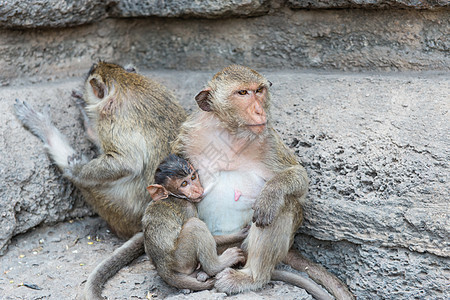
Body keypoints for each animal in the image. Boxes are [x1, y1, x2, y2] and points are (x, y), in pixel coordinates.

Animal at [13, 61, 186, 300]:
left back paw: (52, 139)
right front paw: (86, 118)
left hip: (115, 209)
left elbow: (126, 162)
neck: (123, 81)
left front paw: (77, 168)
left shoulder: (110, 117)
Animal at [143, 154, 246, 290]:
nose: (198, 190)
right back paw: (216, 265)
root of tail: (163, 268)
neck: (172, 196)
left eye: (193, 177)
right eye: (184, 183)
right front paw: (237, 235)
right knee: (194, 225)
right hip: (182, 258)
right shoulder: (189, 208)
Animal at [172, 65, 356, 300]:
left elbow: (299, 178)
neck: (232, 133)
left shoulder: (269, 139)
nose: (259, 111)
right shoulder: (187, 136)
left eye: (259, 90)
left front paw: (271, 194)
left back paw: (251, 277)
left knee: (283, 206)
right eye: (242, 93)